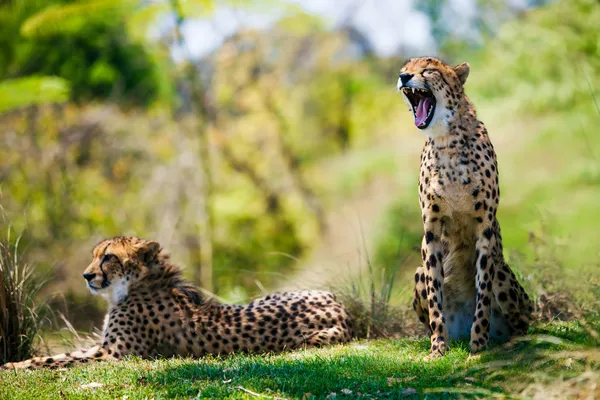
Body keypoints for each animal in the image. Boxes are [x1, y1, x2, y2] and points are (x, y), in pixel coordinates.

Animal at [1, 236, 352, 370]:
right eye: (95, 255)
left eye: (108, 257)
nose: (87, 276)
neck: (137, 284)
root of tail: (341, 308)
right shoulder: (104, 348)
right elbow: (60, 356)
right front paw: (16, 364)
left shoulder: (115, 355)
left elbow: (58, 360)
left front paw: (12, 366)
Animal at [396, 56, 532, 356]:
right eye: (405, 68)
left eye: (428, 70)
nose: (403, 77)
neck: (446, 140)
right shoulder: (431, 232)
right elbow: (435, 299)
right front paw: (438, 347)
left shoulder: (485, 228)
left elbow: (483, 293)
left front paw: (478, 344)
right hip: (417, 274)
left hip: (505, 276)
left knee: (523, 323)